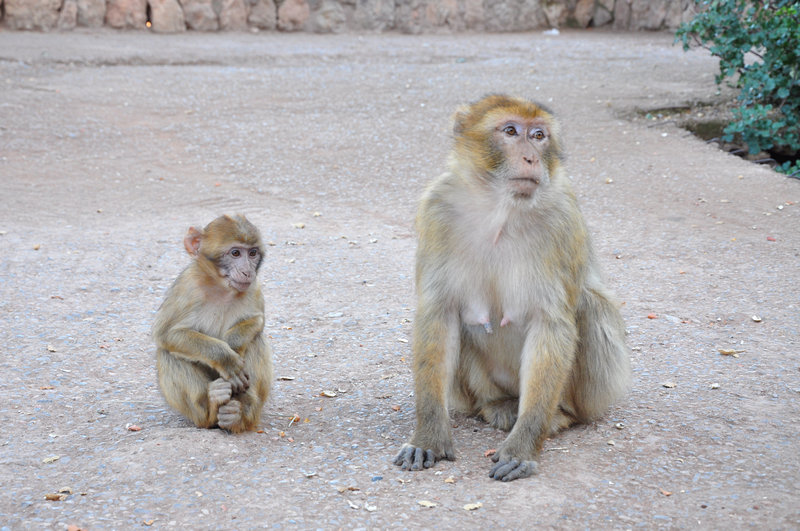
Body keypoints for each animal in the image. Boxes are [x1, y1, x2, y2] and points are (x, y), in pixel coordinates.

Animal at [153, 214, 276, 434]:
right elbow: (165, 334)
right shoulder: (187, 286)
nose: (248, 271)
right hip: (197, 414)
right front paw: (226, 359)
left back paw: (240, 412)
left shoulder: (254, 286)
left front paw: (233, 344)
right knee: (167, 353)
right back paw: (211, 404)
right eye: (235, 253)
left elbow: (257, 320)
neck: (222, 288)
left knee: (256, 340)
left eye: (252, 253)